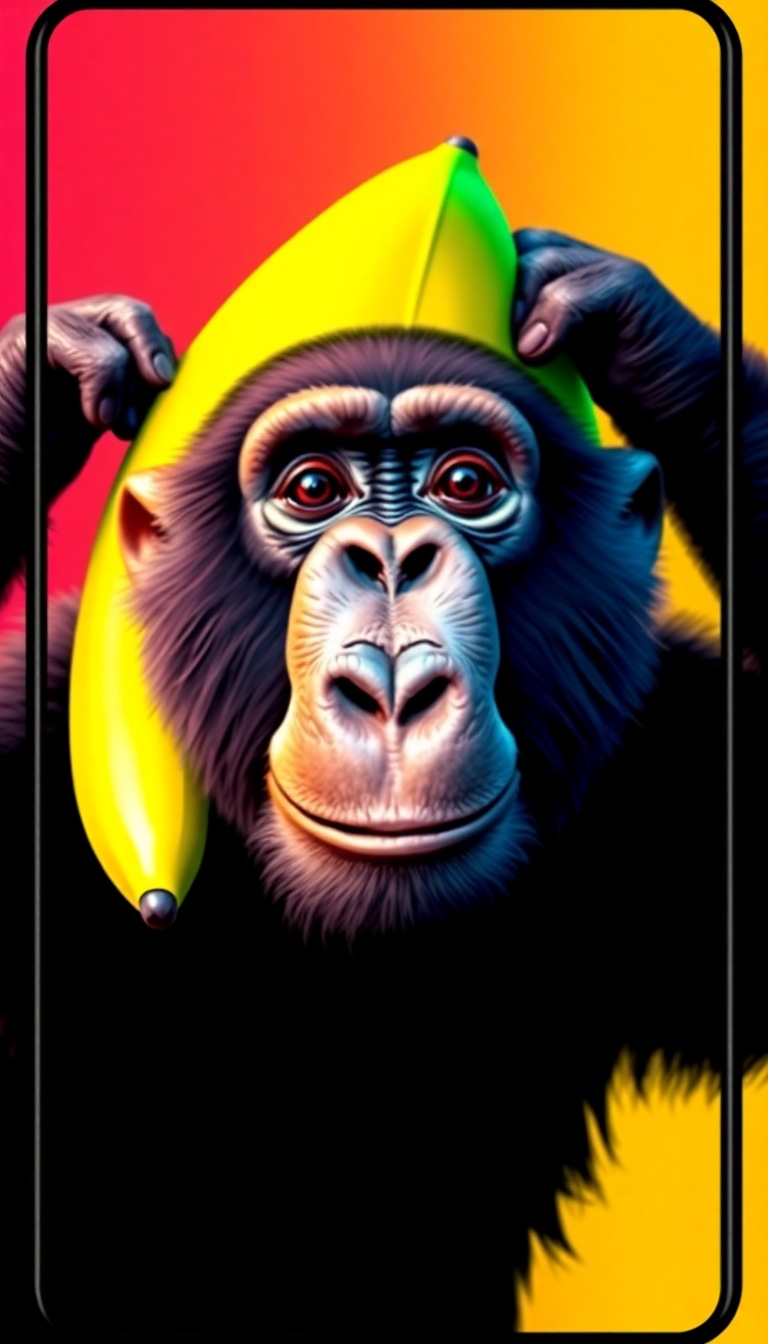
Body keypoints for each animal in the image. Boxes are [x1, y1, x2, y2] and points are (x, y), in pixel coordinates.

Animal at [1, 233, 767, 1336]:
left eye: (466, 483)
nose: (396, 579)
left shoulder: (669, 763)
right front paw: (58, 368)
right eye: (313, 489)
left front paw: (623, 322)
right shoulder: (35, 736)